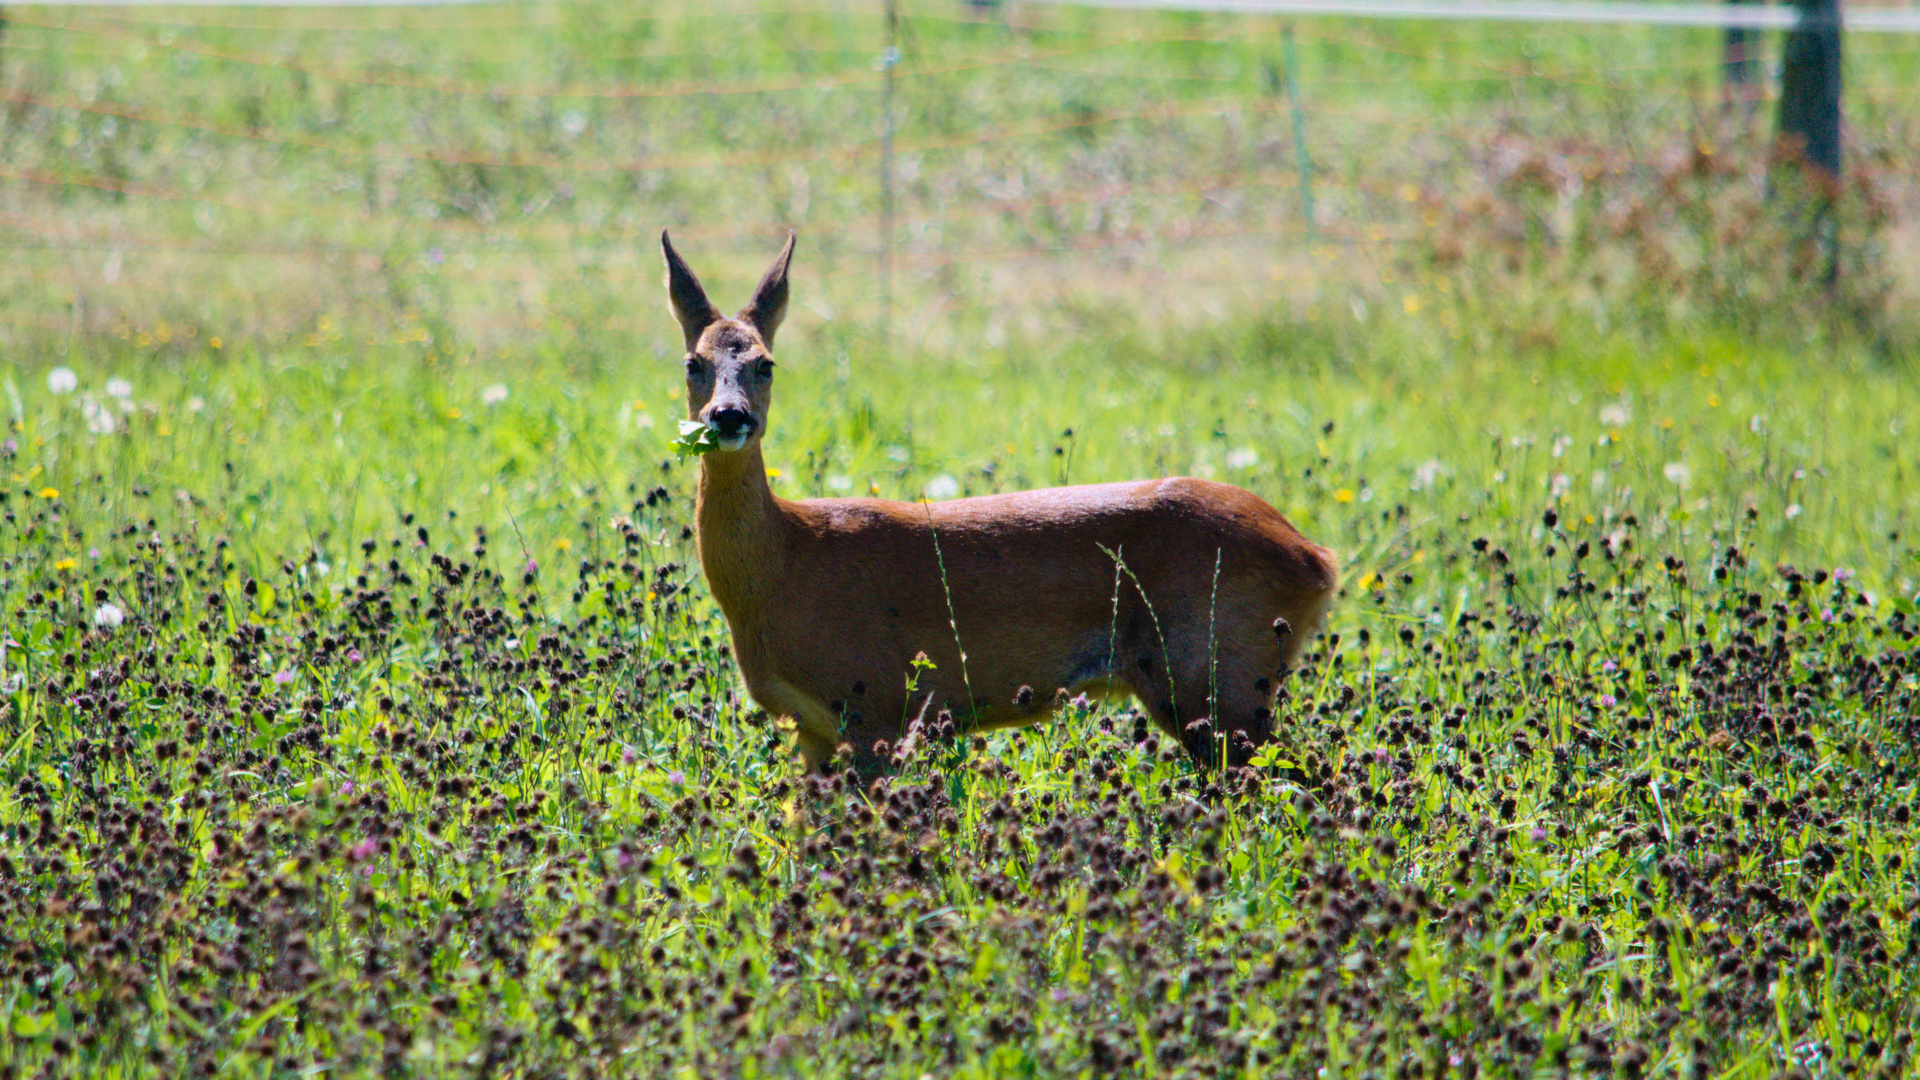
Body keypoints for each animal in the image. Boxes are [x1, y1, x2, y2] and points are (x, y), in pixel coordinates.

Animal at [660, 231, 1336, 776]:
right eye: (693, 362)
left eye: (766, 364)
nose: (728, 416)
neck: (783, 565)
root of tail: (1316, 556)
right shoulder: (814, 730)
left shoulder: (875, 705)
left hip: (1221, 671)